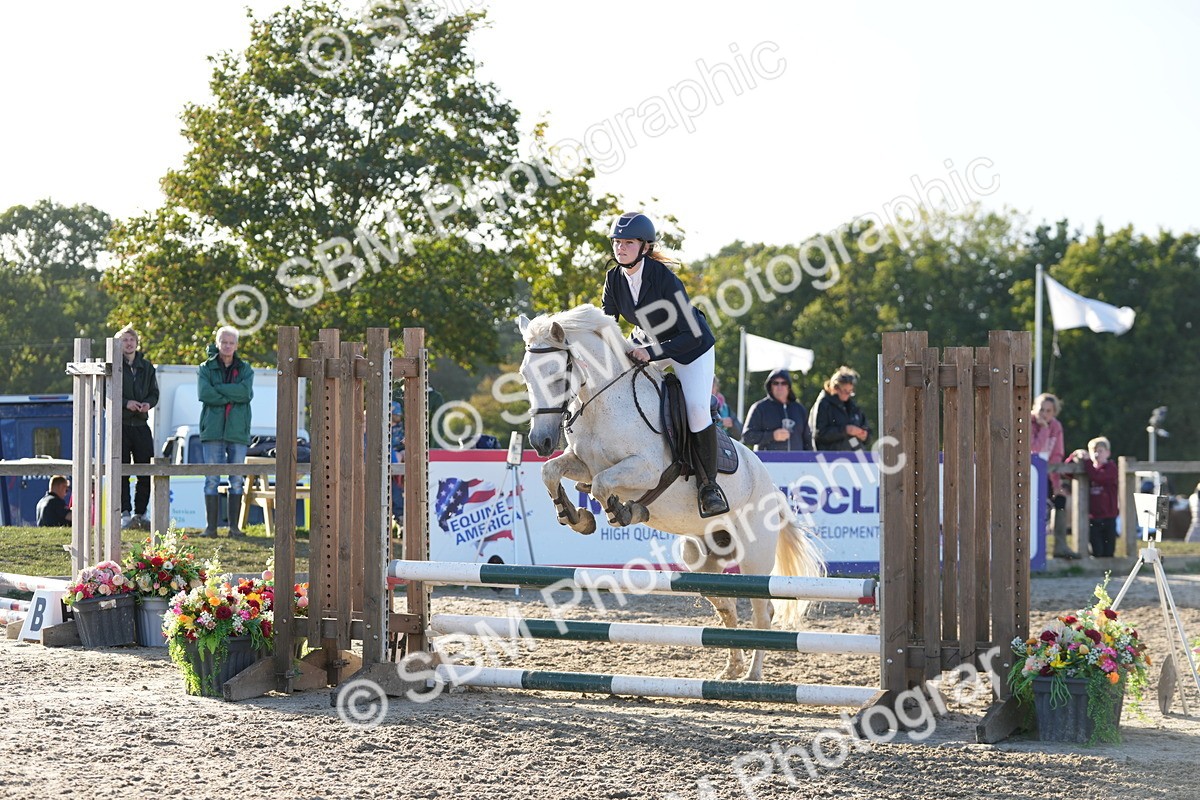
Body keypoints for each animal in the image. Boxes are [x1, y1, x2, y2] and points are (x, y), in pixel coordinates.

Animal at [517, 304, 825, 681]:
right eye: (525, 376)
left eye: (557, 375)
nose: (540, 442)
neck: (603, 403)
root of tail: (772, 490)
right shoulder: (582, 463)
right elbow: (551, 472)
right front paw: (575, 516)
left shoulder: (646, 469)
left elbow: (604, 483)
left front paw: (624, 511)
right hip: (700, 557)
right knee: (727, 605)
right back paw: (731, 670)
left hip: (755, 556)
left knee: (761, 611)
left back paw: (752, 675)